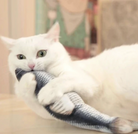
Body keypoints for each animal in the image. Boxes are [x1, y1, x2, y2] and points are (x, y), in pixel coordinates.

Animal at [0, 22, 138, 121]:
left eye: (41, 53)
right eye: (20, 57)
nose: (31, 65)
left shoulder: (88, 81)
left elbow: (62, 79)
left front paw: (47, 92)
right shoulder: (45, 113)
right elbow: (30, 98)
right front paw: (27, 80)